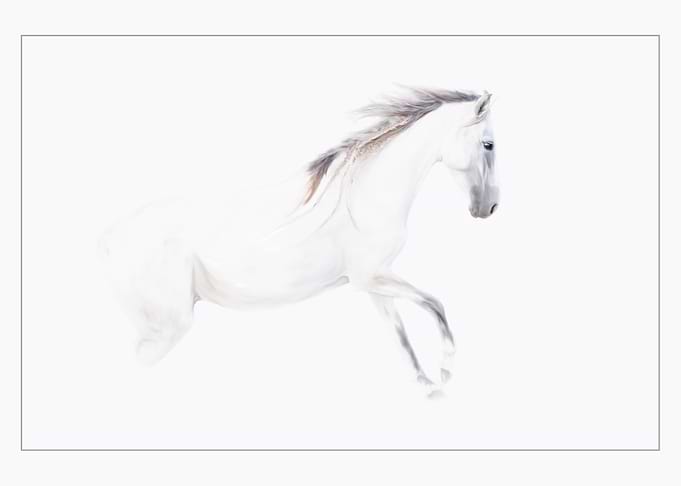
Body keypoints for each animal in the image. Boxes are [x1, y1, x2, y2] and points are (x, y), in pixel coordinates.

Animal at [98, 87, 499, 394]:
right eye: (489, 144)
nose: (490, 207)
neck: (364, 193)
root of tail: (114, 236)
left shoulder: (372, 282)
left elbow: (401, 336)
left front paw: (428, 385)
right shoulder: (372, 277)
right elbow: (436, 304)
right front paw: (447, 369)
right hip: (168, 327)